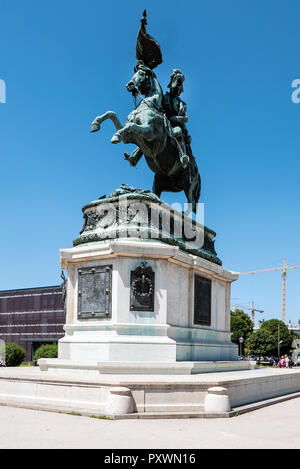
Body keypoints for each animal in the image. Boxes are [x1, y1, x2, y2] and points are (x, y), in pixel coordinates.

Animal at [90, 63, 200, 212]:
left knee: (190, 207)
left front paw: (115, 136)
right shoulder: (130, 137)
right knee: (156, 194)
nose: (129, 85)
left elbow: (130, 127)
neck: (148, 106)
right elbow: (112, 114)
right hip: (159, 180)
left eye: (142, 73)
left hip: (189, 188)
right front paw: (95, 124)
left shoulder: (149, 132)